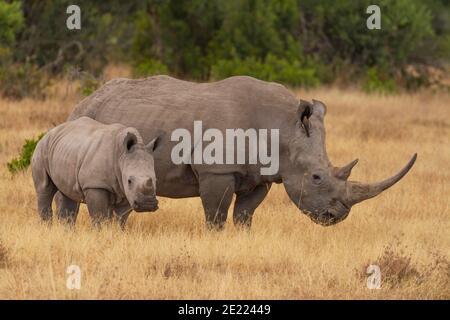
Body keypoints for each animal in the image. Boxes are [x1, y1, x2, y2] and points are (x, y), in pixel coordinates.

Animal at [32, 117, 162, 228]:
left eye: (155, 180)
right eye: (129, 181)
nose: (147, 205)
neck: (121, 155)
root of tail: (49, 132)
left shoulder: (126, 190)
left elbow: (120, 218)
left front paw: (117, 233)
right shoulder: (95, 185)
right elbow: (99, 216)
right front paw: (100, 233)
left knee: (68, 194)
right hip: (41, 149)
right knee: (44, 189)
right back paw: (47, 228)